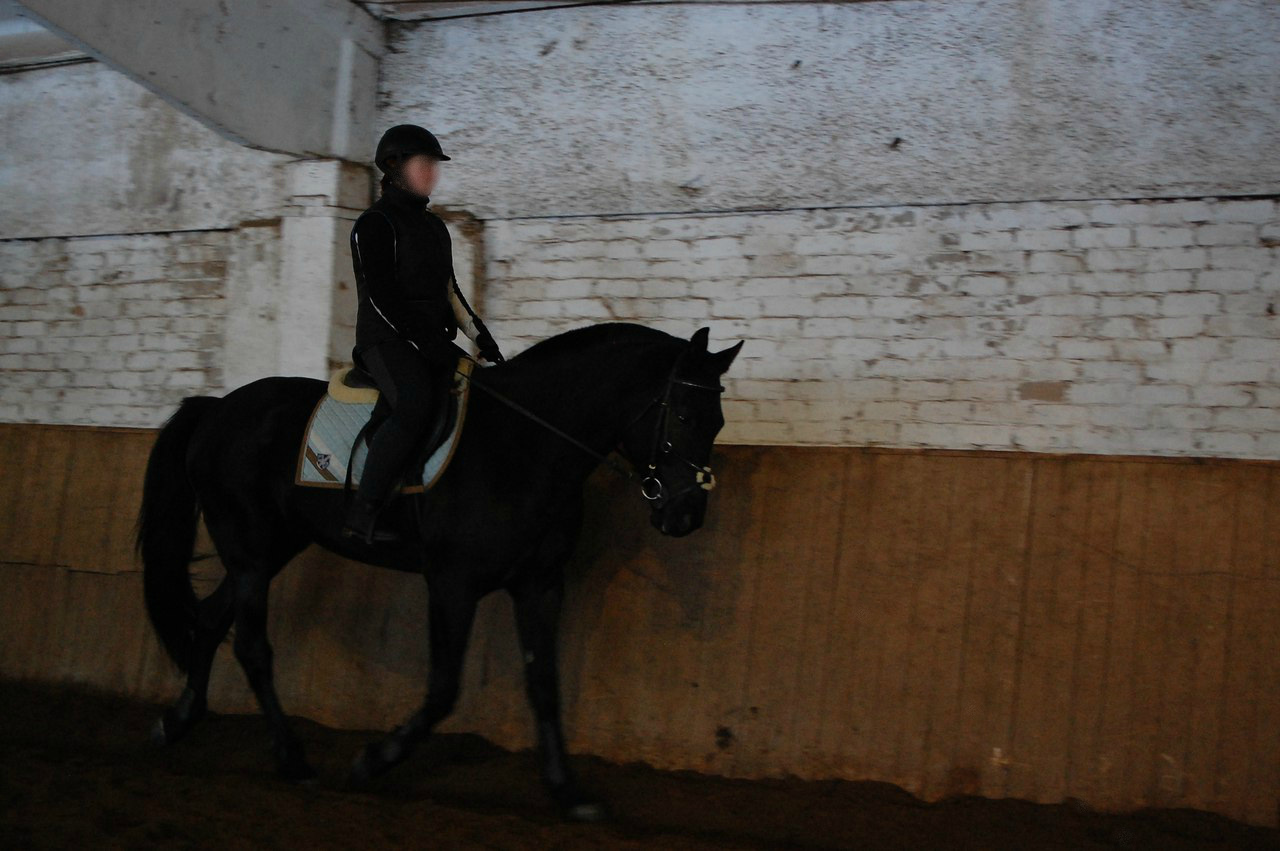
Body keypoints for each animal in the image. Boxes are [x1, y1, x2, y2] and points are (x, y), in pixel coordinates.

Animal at [135, 321, 743, 821]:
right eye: (684, 415)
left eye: (717, 421)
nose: (685, 515)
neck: (525, 446)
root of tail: (216, 409)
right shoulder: (454, 583)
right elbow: (445, 688)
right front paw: (373, 761)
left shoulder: (540, 584)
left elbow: (543, 685)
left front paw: (569, 793)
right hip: (251, 551)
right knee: (251, 646)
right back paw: (292, 761)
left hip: (269, 549)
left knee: (210, 620)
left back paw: (175, 722)